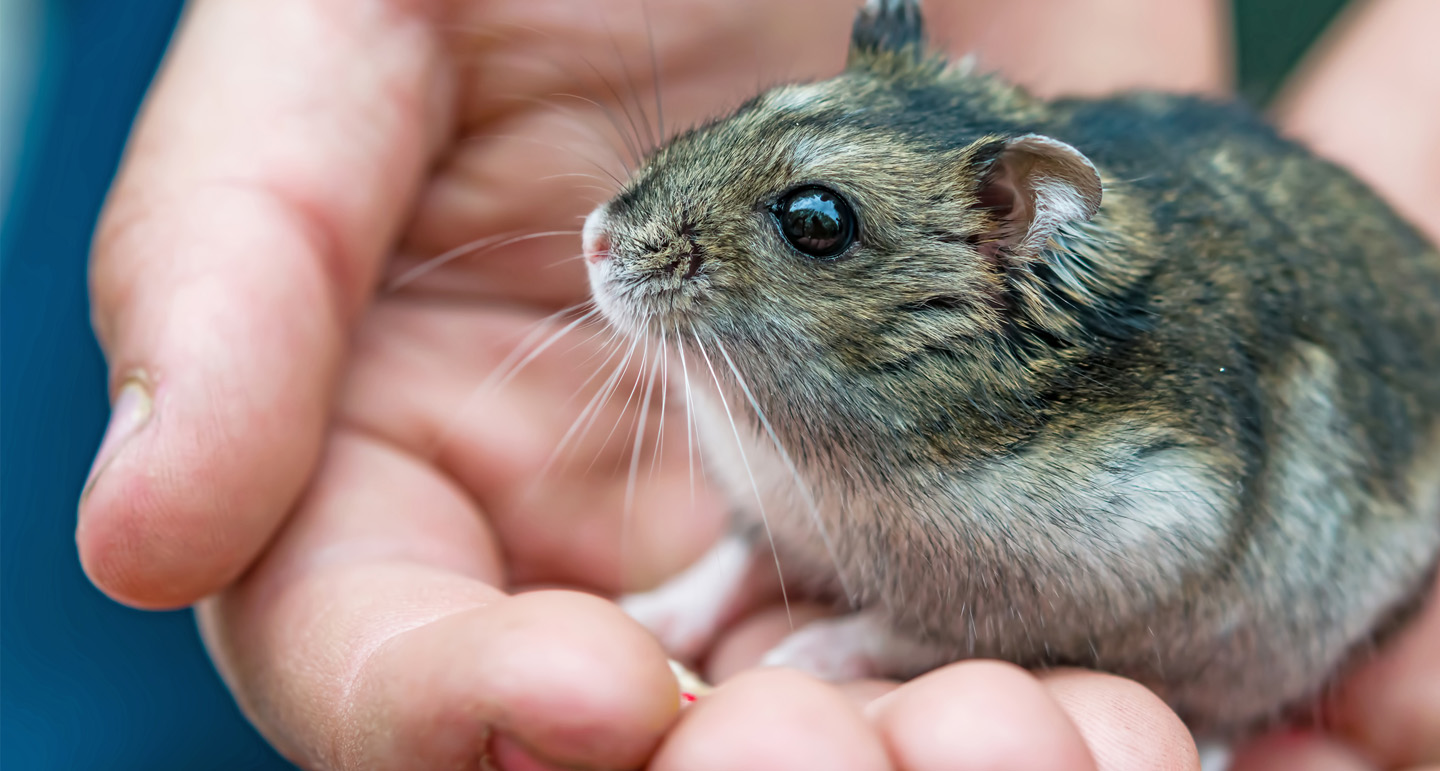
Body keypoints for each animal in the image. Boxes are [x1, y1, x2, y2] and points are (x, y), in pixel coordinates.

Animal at [581, 0, 1440, 738]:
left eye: (816, 222)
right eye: (753, 103)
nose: (594, 239)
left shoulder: (1077, 583)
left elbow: (894, 631)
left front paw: (793, 655)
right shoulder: (767, 504)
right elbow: (732, 559)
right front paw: (644, 612)